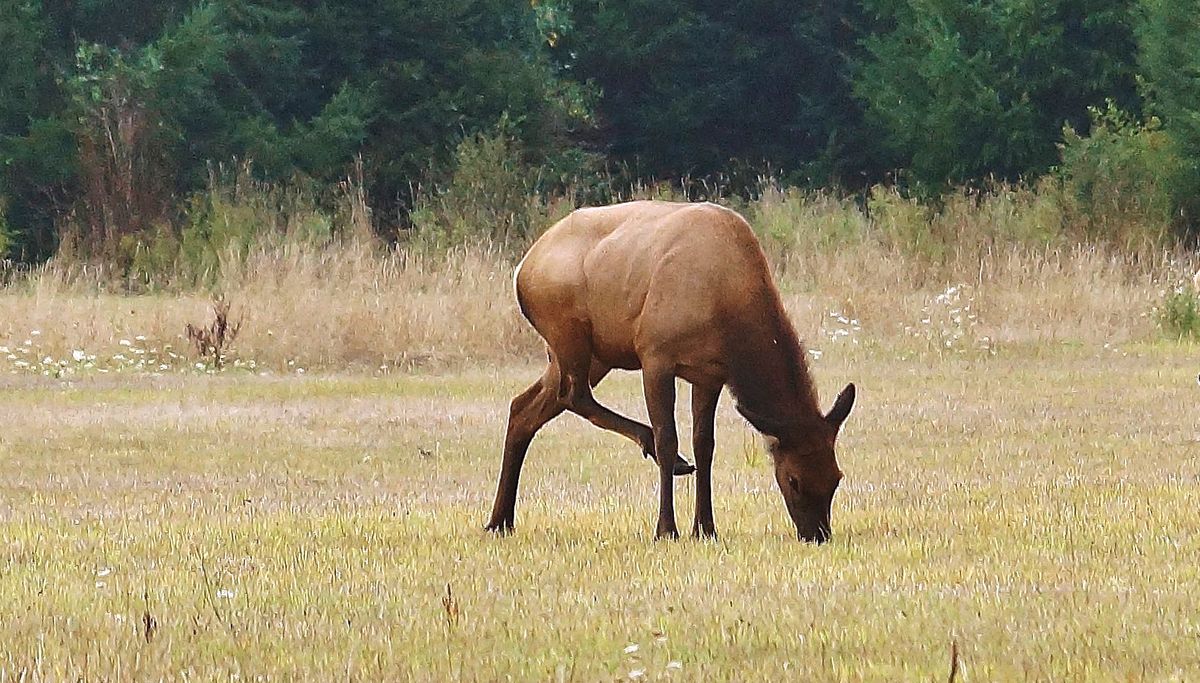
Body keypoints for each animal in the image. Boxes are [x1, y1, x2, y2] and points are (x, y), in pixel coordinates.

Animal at [485, 201, 856, 542]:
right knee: (574, 395)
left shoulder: (710, 375)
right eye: (793, 480)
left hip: (593, 354)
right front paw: (666, 528)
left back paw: (499, 521)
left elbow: (704, 444)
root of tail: (522, 269)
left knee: (525, 406)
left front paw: (705, 527)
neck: (728, 307)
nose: (817, 534)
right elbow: (668, 437)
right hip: (569, 332)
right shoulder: (655, 356)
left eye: (837, 477)